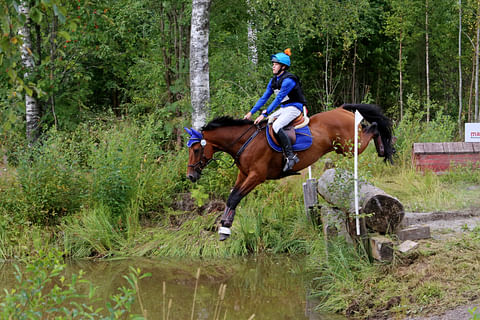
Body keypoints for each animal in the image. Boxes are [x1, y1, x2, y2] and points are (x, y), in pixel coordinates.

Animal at [184, 103, 394, 240]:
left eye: (196, 150)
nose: (191, 176)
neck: (245, 142)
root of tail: (342, 109)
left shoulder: (256, 176)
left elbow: (235, 197)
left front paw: (225, 228)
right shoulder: (243, 174)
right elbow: (231, 197)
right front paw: (224, 227)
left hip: (350, 147)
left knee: (373, 128)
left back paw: (385, 149)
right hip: (345, 147)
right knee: (369, 127)